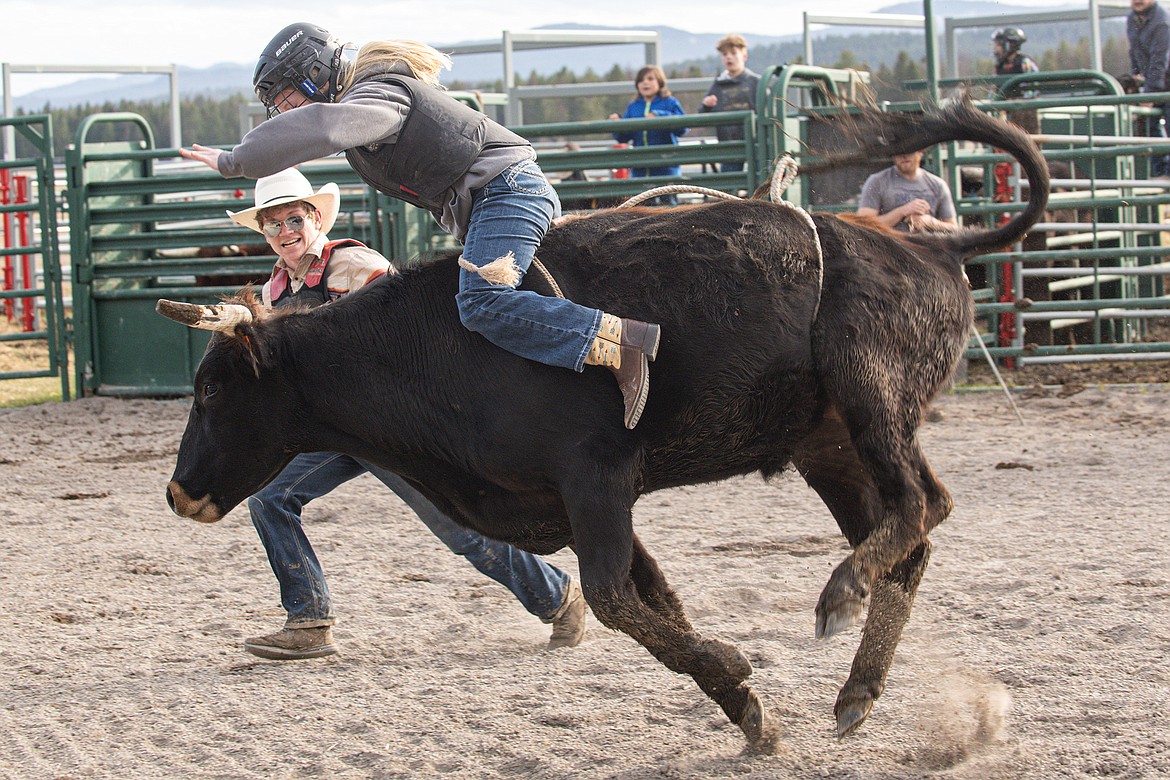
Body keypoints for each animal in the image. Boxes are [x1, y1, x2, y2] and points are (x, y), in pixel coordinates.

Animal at [160, 100, 1048, 753]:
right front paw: (745, 707)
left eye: (211, 388)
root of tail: (933, 247)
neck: (426, 347)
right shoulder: (578, 501)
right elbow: (655, 603)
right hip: (826, 444)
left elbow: (616, 597)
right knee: (910, 537)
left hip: (874, 398)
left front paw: (732, 669)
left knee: (922, 505)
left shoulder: (596, 479)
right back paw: (857, 691)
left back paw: (841, 596)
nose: (176, 494)